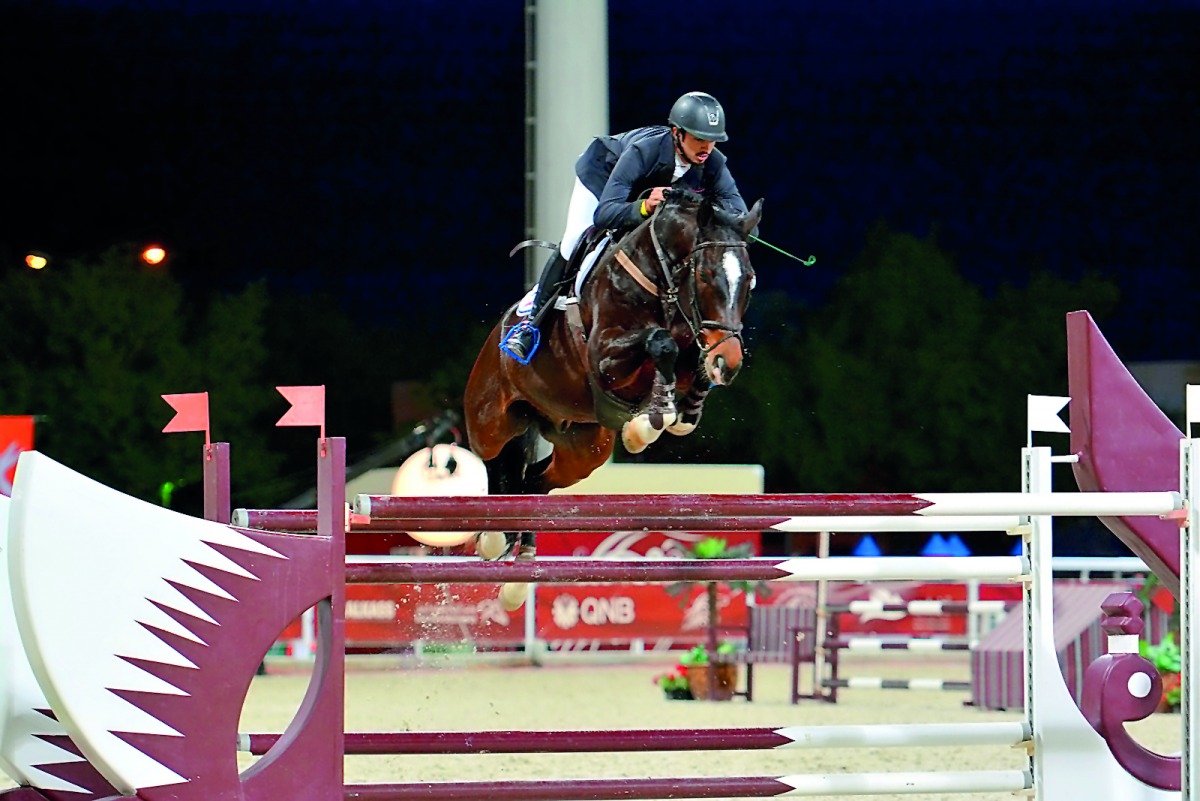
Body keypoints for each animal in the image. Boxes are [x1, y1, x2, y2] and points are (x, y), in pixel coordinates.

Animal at [463, 188, 763, 609]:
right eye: (705, 275)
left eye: (748, 280)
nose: (730, 362)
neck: (661, 276)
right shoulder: (604, 357)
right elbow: (661, 341)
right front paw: (647, 426)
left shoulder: (690, 344)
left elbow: (686, 359)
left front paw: (673, 415)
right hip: (491, 419)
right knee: (495, 462)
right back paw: (492, 537)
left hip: (584, 450)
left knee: (533, 484)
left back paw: (519, 576)